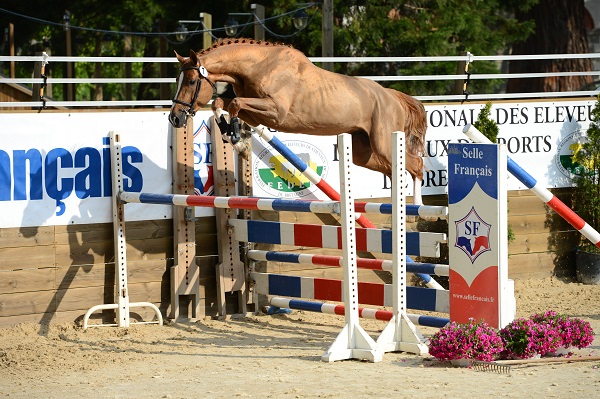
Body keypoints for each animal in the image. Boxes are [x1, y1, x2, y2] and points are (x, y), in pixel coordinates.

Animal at [169, 38, 428, 203]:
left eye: (191, 81)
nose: (175, 117)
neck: (258, 66)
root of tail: (393, 96)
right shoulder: (254, 112)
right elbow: (221, 104)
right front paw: (234, 138)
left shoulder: (276, 112)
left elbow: (233, 104)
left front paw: (238, 141)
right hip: (362, 151)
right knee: (395, 169)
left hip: (383, 143)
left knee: (416, 165)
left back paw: (417, 210)